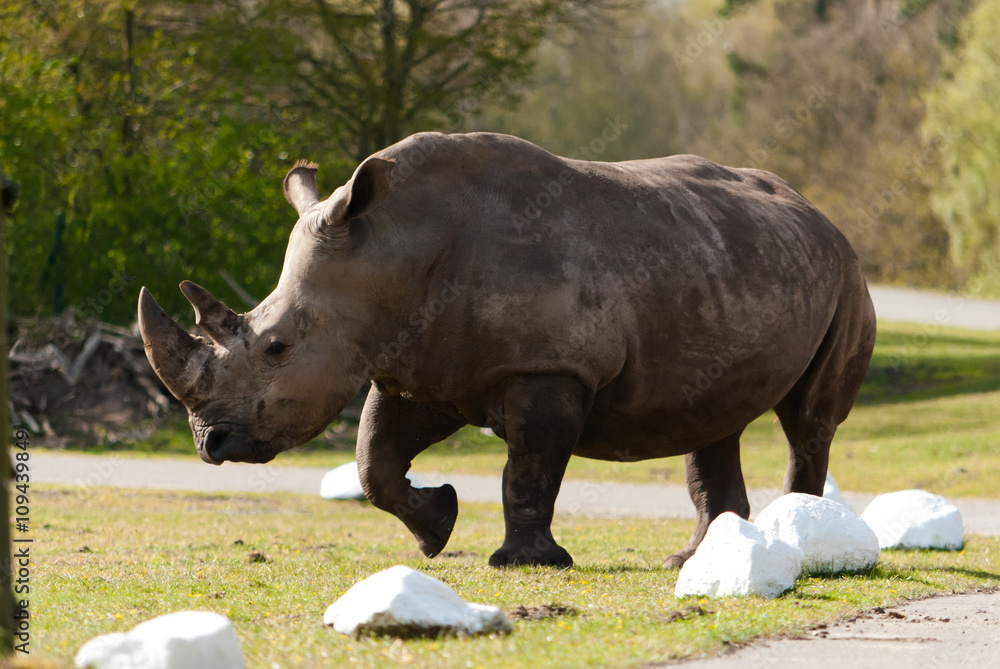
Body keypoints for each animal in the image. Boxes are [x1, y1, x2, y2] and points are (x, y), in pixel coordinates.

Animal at [138, 132, 876, 568]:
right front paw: (436, 528)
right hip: (729, 262)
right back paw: (692, 559)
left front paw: (524, 562)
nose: (209, 442)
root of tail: (818, 213)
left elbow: (529, 469)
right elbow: (374, 460)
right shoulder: (420, 366)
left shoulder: (548, 368)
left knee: (808, 420)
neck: (388, 253)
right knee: (714, 416)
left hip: (845, 274)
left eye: (276, 347)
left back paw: (797, 539)